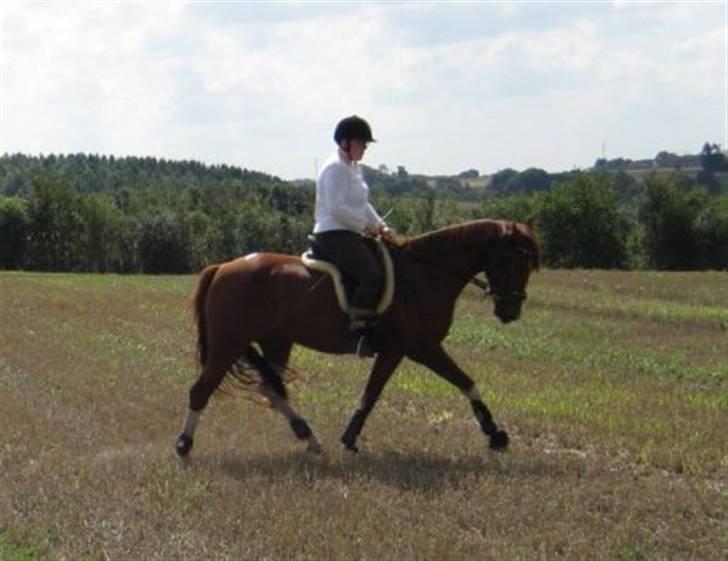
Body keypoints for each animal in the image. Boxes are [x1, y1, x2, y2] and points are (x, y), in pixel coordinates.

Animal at [176, 217, 540, 458]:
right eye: (513, 259)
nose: (511, 311)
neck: (425, 274)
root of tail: (220, 268)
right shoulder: (422, 348)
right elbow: (466, 382)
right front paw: (496, 434)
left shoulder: (396, 351)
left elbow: (371, 394)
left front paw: (349, 438)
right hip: (229, 343)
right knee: (201, 390)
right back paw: (184, 446)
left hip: (276, 341)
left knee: (271, 389)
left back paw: (309, 438)